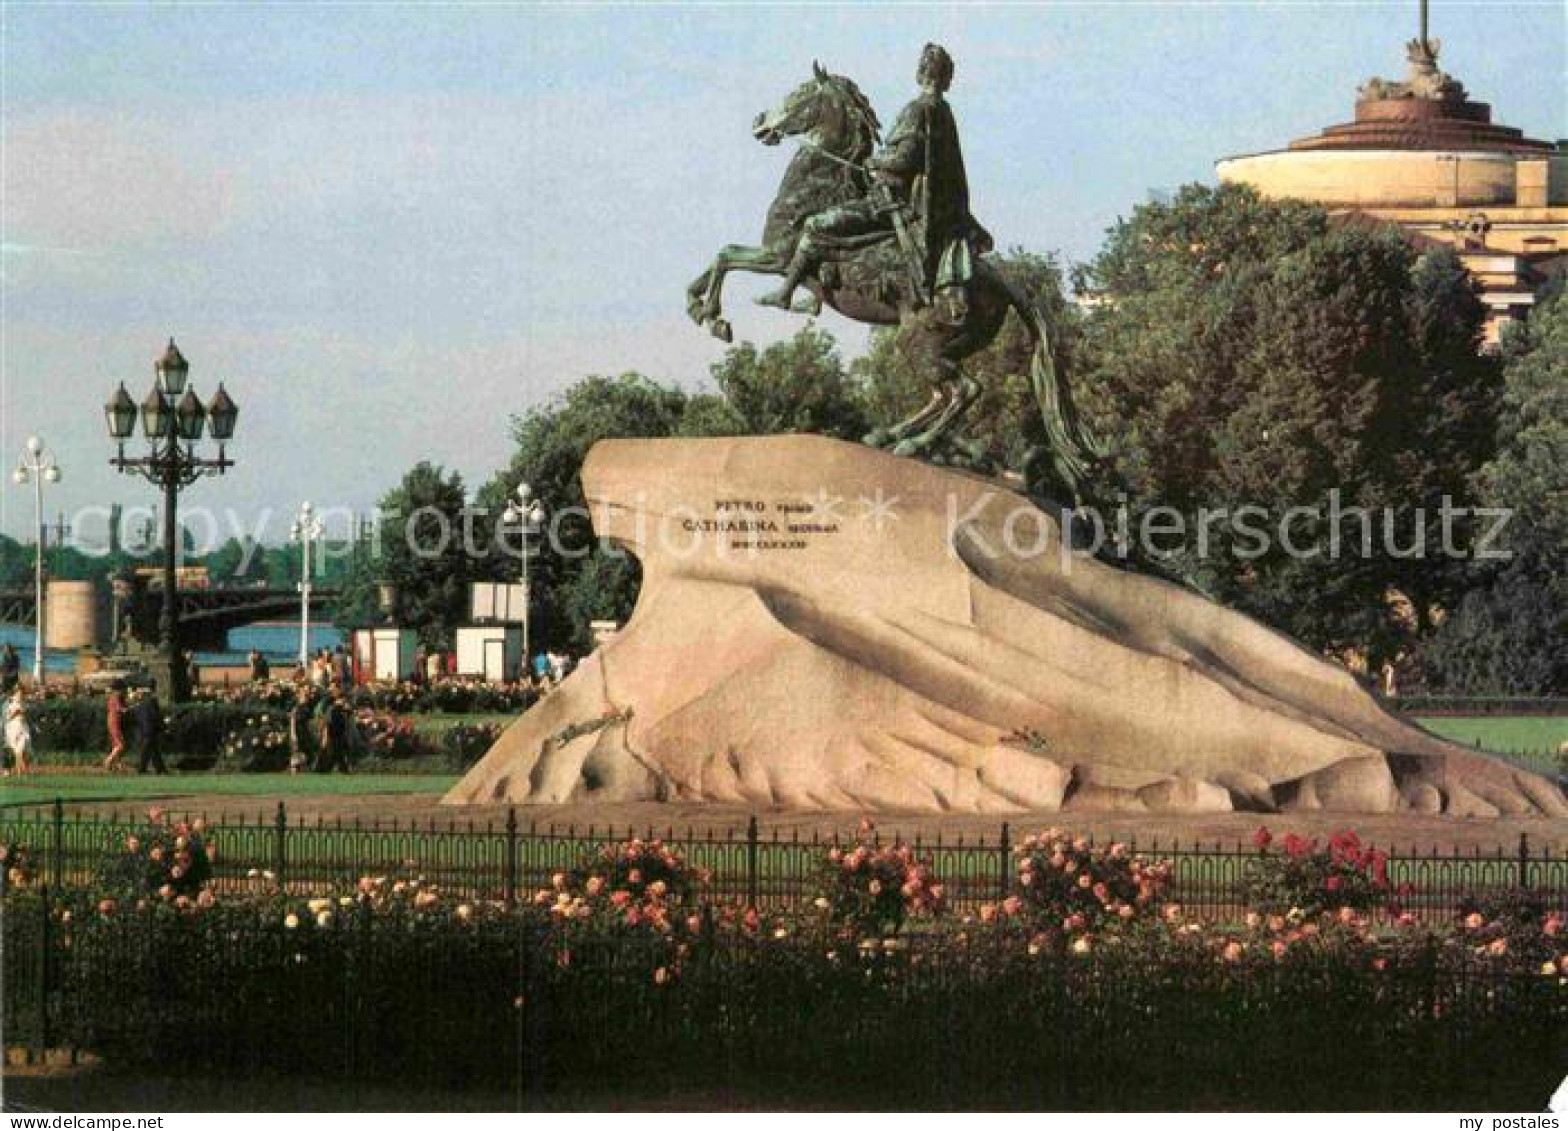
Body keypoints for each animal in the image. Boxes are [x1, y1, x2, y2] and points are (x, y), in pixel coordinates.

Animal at [686, 62, 1103, 498]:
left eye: (800, 92)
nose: (760, 122)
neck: (819, 190)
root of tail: (1001, 281)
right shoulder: (775, 256)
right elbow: (720, 257)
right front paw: (699, 306)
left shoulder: (780, 257)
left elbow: (729, 256)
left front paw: (718, 316)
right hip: (933, 343)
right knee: (942, 393)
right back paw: (889, 435)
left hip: (919, 340)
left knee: (964, 390)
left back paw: (910, 443)